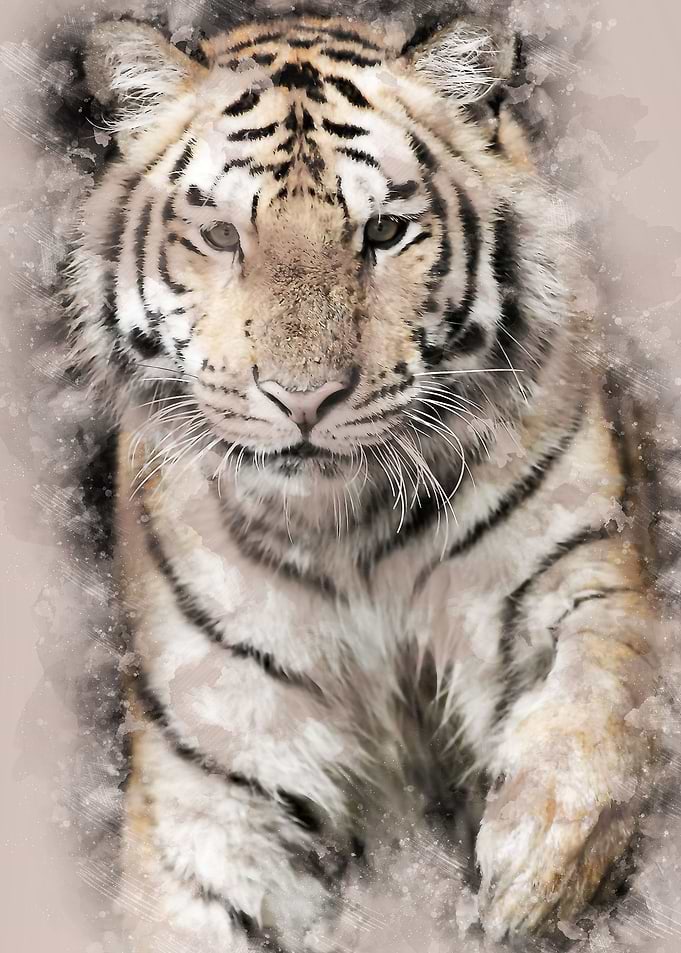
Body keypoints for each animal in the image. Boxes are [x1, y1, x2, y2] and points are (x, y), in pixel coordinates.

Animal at [63, 10, 659, 952]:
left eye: (382, 233)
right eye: (222, 236)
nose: (303, 397)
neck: (348, 529)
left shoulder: (580, 562)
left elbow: (600, 701)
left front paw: (530, 875)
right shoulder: (218, 762)